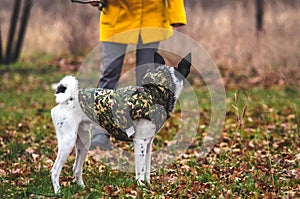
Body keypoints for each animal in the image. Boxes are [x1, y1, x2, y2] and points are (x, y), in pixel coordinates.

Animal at [50, 52, 191, 194]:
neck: (156, 92)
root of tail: (66, 99)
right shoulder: (140, 142)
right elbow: (140, 172)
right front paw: (141, 189)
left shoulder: (149, 144)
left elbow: (147, 170)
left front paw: (148, 186)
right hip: (67, 142)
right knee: (55, 170)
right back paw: (58, 192)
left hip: (83, 142)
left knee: (76, 169)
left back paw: (84, 189)